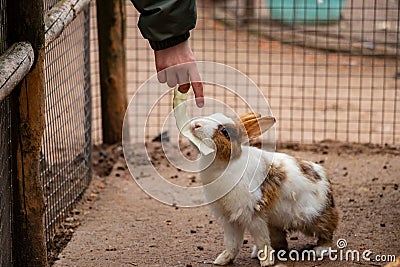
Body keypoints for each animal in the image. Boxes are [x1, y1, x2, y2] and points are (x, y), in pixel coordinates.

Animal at [190, 112, 338, 266]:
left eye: (225, 132)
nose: (195, 125)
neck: (224, 163)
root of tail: (325, 178)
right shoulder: (229, 218)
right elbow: (232, 243)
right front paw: (222, 260)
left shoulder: (254, 214)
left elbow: (261, 240)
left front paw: (267, 261)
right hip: (275, 223)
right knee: (280, 241)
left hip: (314, 218)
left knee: (327, 231)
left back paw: (320, 250)